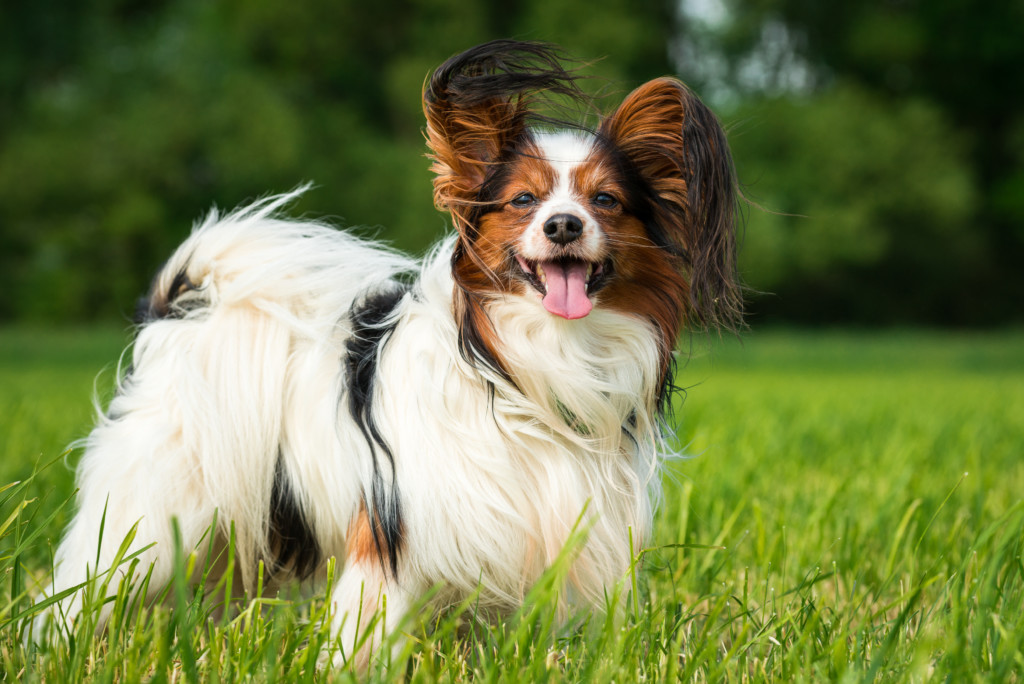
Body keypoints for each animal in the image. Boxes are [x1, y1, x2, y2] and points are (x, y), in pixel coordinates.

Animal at [37, 40, 745, 663]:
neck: (529, 363)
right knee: (69, 599)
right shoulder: (393, 535)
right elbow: (364, 640)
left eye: (605, 201)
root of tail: (174, 315)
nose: (564, 225)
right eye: (524, 200)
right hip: (148, 524)